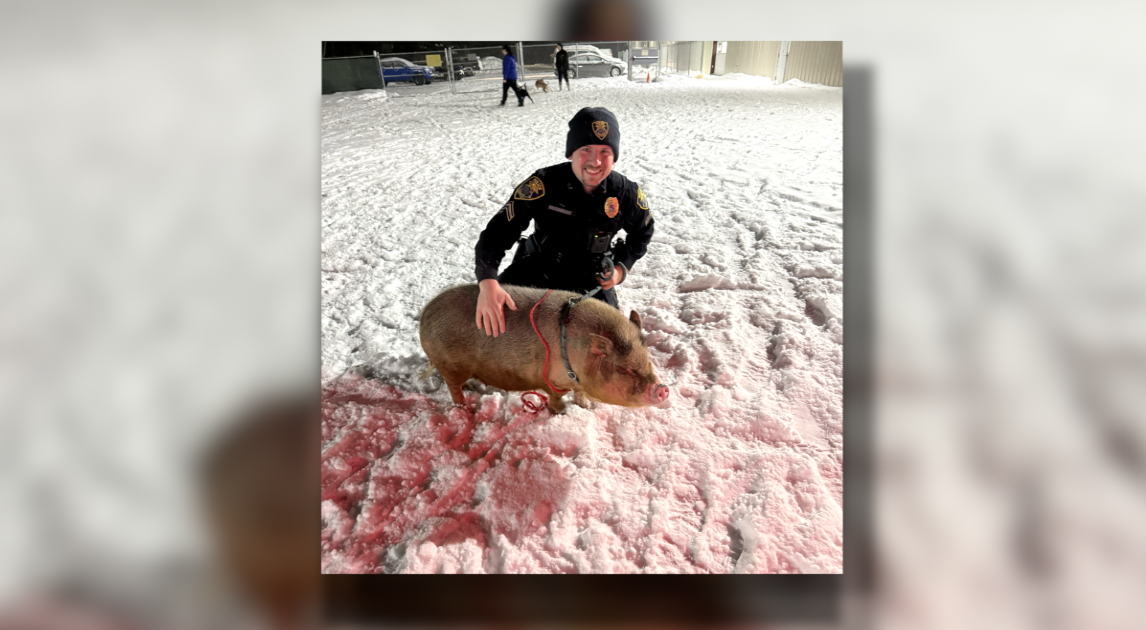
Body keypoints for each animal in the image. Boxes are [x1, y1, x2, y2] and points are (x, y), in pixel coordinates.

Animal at [419, 284, 670, 413]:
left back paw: (472, 387)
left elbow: (580, 394)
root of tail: (424, 317)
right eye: (625, 369)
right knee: (453, 390)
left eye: (647, 360)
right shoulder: (553, 381)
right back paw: (466, 409)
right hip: (450, 365)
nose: (663, 389)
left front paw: (587, 406)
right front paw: (561, 412)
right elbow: (556, 399)